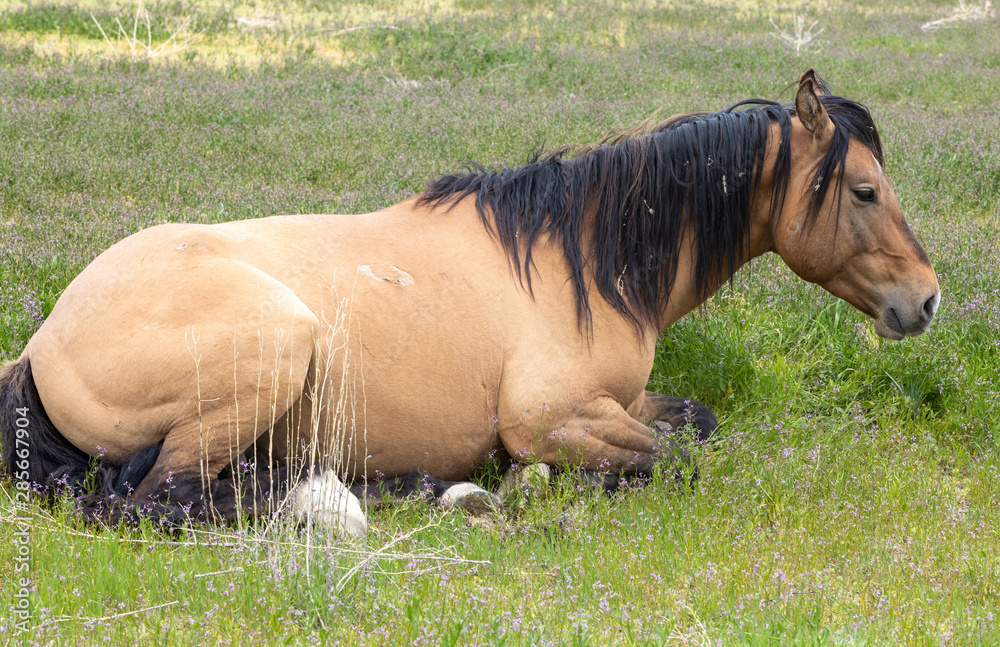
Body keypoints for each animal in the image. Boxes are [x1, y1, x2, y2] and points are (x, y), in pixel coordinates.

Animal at [0, 70, 939, 536]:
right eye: (864, 190)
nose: (926, 301)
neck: (578, 258)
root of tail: (41, 345)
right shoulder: (554, 416)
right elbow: (675, 460)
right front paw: (533, 483)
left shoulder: (626, 399)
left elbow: (695, 424)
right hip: (274, 347)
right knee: (164, 501)